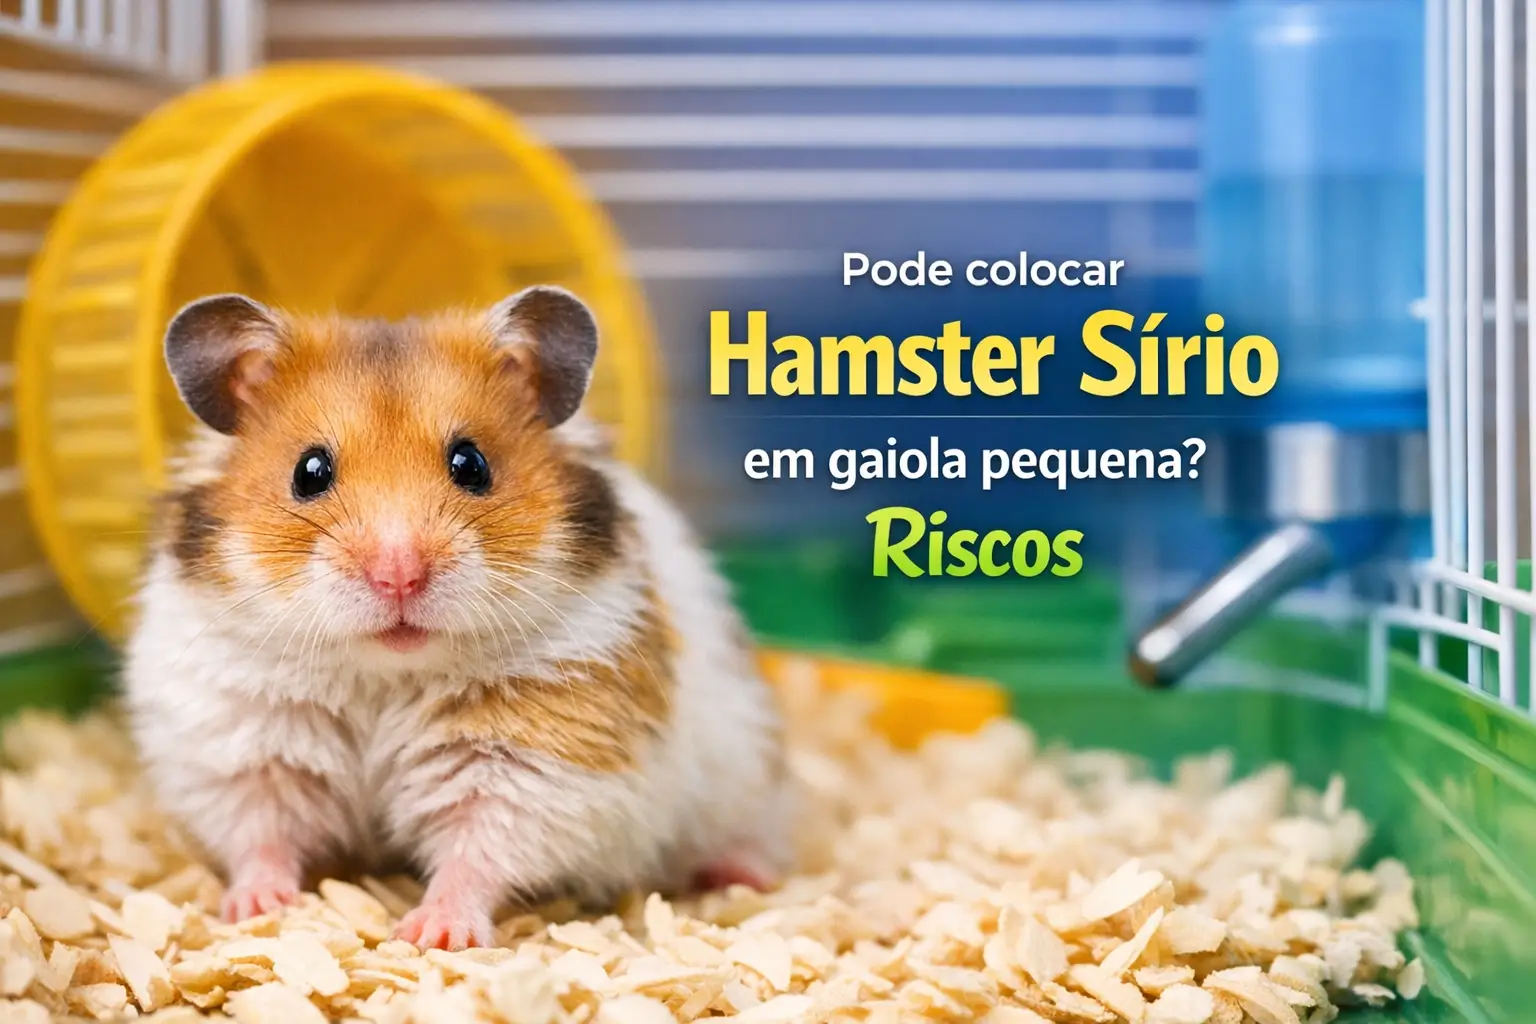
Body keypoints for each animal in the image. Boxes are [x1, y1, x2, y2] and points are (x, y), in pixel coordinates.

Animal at [122, 287, 793, 950]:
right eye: (309, 472)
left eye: (471, 464)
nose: (398, 574)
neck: (382, 675)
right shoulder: (243, 741)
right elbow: (262, 832)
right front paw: (257, 910)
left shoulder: (532, 759)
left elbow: (478, 851)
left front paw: (433, 935)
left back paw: (742, 878)